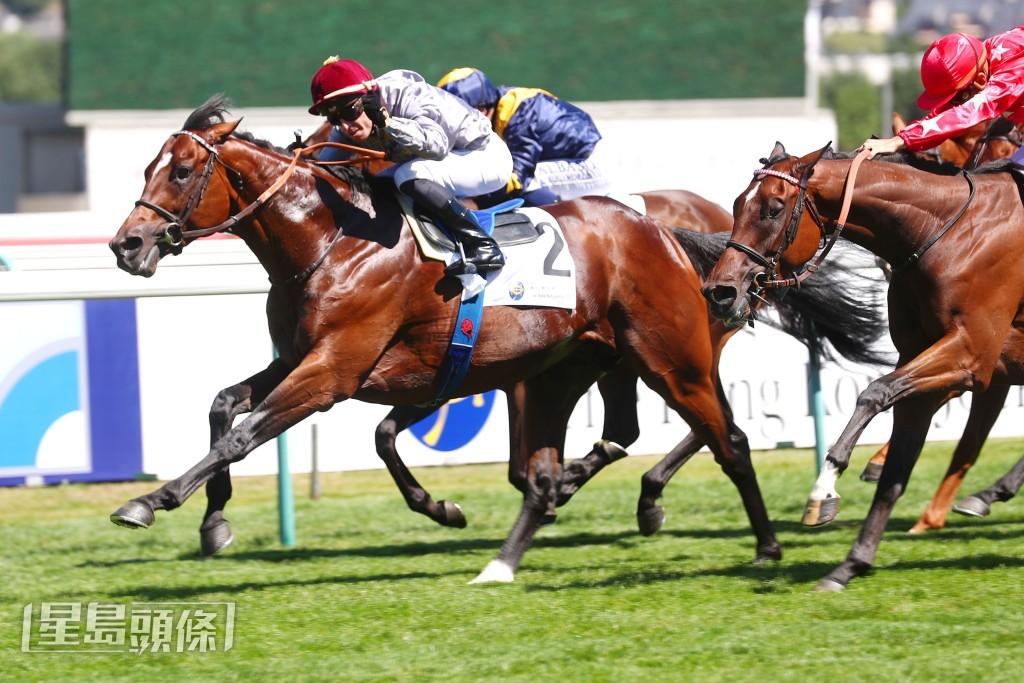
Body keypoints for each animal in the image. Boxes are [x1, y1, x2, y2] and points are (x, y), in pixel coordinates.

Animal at [106, 95, 796, 583]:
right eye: (146, 168)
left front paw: (150, 500)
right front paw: (214, 521)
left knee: (725, 437)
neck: (334, 239)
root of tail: (664, 229)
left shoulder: (334, 372)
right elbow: (226, 406)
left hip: (673, 357)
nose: (126, 245)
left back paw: (758, 543)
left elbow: (246, 436)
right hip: (587, 364)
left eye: (183, 171)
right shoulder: (311, 359)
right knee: (612, 437)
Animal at [701, 140, 1024, 590]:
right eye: (735, 204)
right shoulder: (928, 366)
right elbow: (893, 475)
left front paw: (823, 491)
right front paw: (850, 565)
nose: (719, 292)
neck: (946, 232)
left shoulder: (972, 353)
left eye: (773, 209)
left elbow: (874, 392)